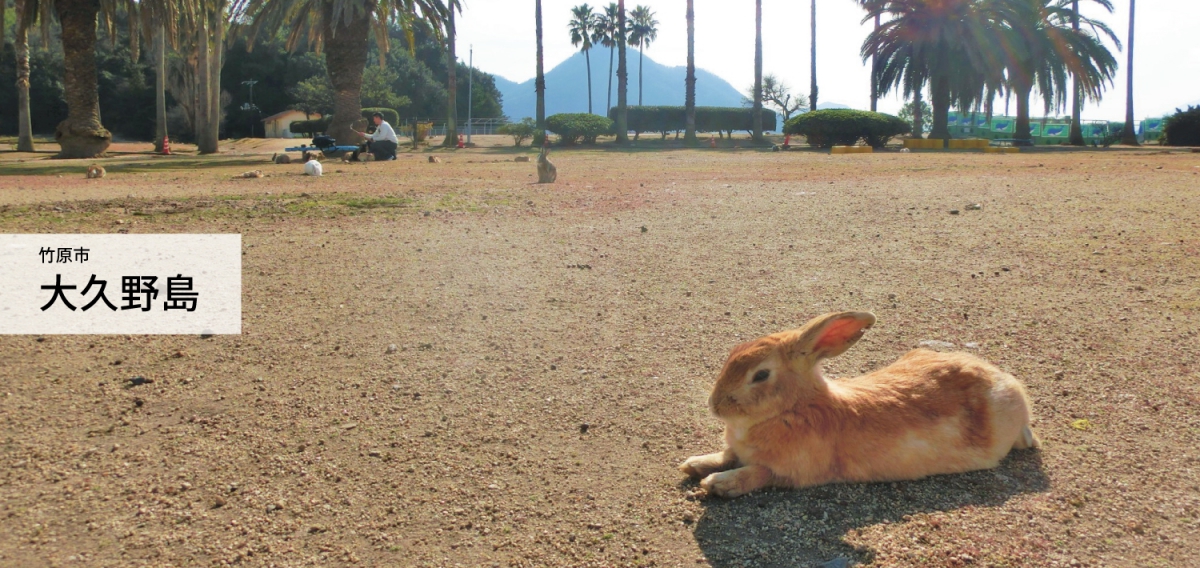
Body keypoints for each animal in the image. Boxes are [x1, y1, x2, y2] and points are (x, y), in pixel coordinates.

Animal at [680, 311, 1039, 498]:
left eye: (761, 375)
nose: (715, 406)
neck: (795, 407)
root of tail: (1010, 386)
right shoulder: (737, 450)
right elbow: (726, 455)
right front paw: (693, 464)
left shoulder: (791, 472)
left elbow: (756, 473)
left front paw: (717, 483)